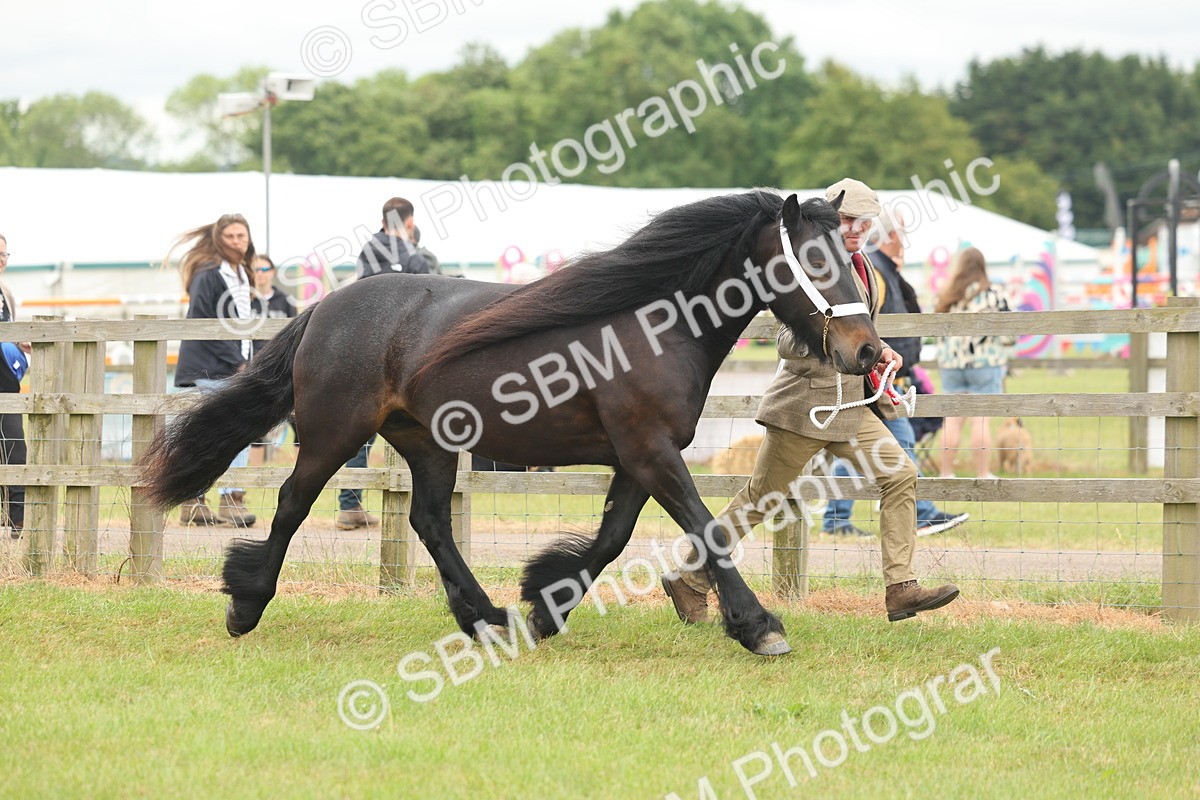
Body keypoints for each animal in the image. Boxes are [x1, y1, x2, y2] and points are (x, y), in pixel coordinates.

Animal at [139, 189, 882, 657]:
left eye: (852, 259)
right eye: (814, 261)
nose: (869, 353)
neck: (654, 325)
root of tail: (325, 307)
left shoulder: (639, 456)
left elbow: (612, 539)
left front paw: (544, 606)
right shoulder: (650, 452)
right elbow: (705, 530)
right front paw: (760, 627)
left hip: (427, 444)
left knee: (429, 522)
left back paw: (485, 618)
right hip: (332, 435)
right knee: (294, 503)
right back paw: (246, 605)